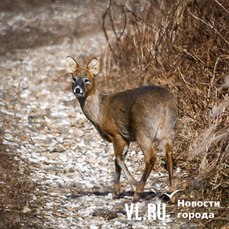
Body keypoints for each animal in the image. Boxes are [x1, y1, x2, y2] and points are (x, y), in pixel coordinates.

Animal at [65, 56, 177, 201]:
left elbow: (118, 158)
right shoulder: (126, 138)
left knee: (151, 157)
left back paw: (138, 192)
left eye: (86, 79)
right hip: (169, 128)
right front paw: (116, 192)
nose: (78, 89)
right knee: (168, 154)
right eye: (74, 78)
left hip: (143, 129)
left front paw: (132, 185)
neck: (99, 112)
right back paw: (172, 194)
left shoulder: (116, 134)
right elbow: (117, 161)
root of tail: (164, 104)